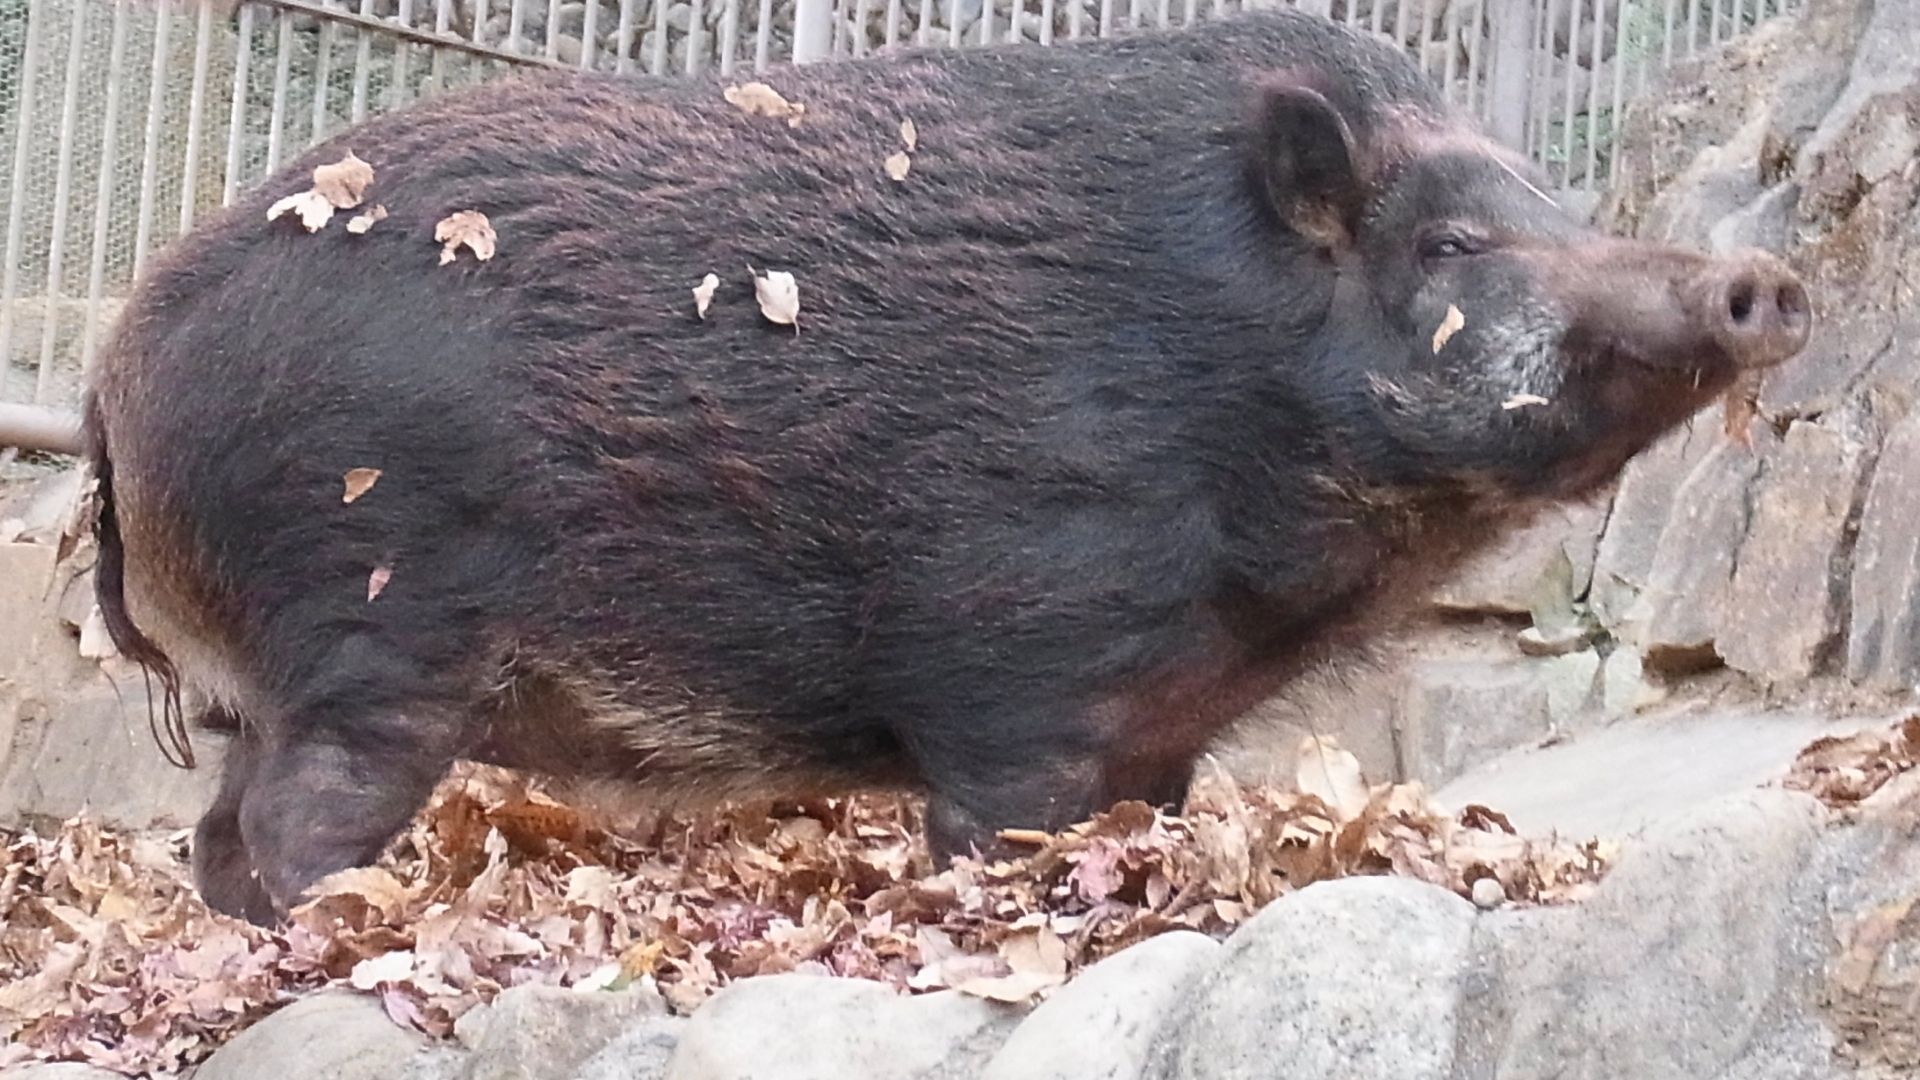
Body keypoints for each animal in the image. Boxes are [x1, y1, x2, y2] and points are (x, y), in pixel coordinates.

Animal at [81, 7, 1813, 925]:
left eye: (1555, 204)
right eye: (1452, 243)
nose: (1764, 283)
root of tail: (114, 368)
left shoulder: (1161, 727)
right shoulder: (1017, 668)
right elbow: (998, 838)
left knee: (216, 834)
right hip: (368, 623)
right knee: (293, 826)